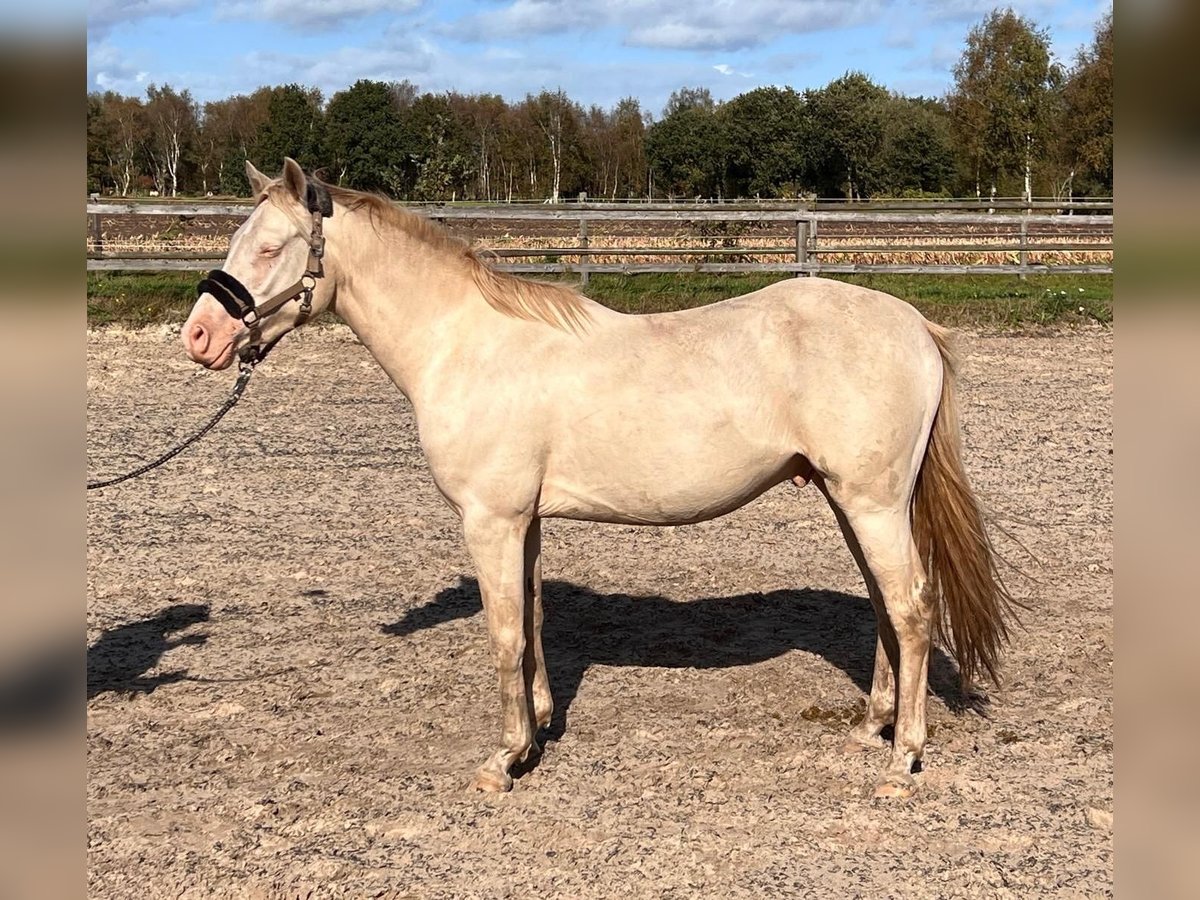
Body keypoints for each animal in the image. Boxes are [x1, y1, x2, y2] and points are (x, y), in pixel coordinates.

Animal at [184, 158, 1012, 801]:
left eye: (270, 246)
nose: (200, 336)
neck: (467, 345)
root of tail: (916, 326)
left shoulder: (490, 519)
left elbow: (503, 632)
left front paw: (502, 761)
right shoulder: (525, 520)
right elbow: (534, 619)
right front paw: (538, 731)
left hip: (872, 503)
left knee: (910, 608)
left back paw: (903, 758)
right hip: (854, 502)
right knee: (885, 606)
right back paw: (872, 727)